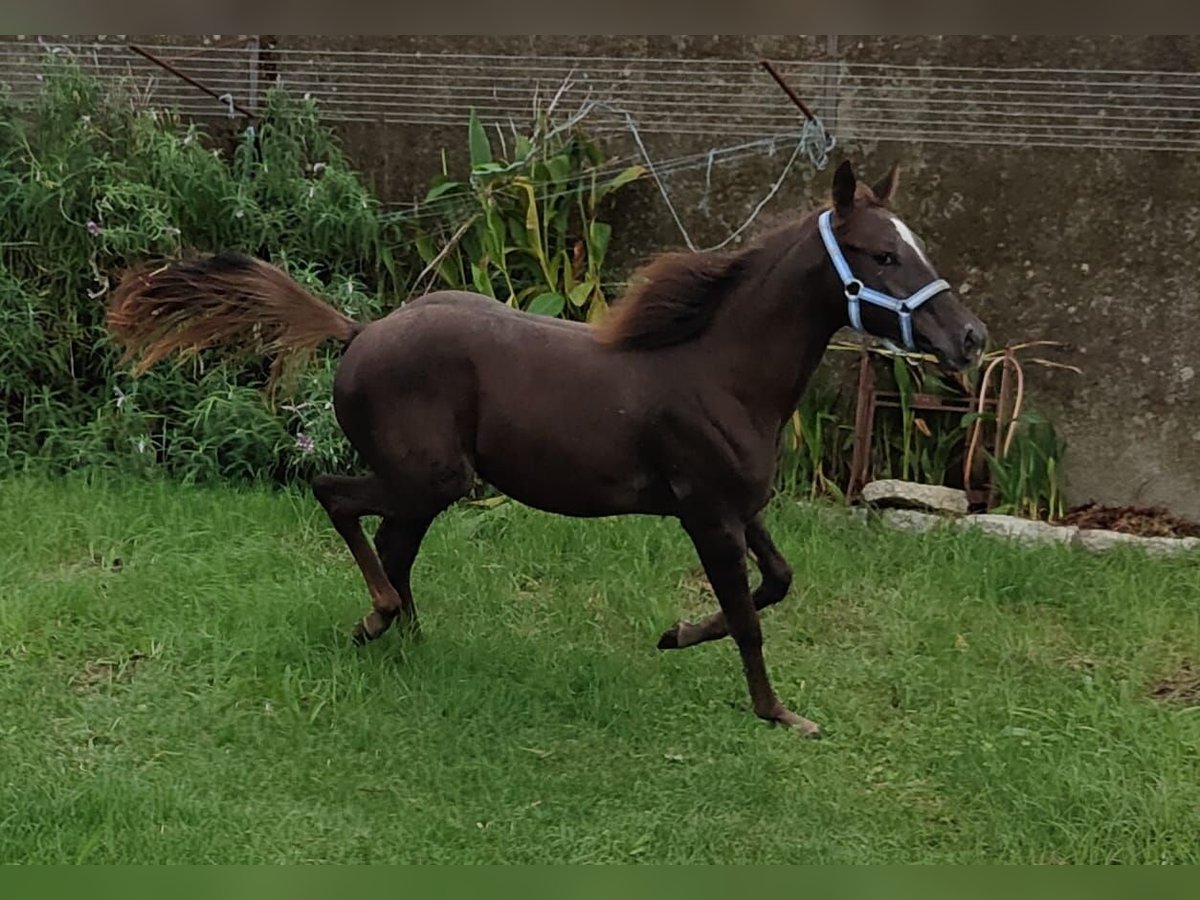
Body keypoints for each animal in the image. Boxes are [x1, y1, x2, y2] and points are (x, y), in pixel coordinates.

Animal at [105, 160, 984, 739]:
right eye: (882, 255)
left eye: (916, 245)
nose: (970, 338)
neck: (719, 370)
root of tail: (358, 331)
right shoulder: (706, 515)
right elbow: (748, 618)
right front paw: (779, 713)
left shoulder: (738, 508)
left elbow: (778, 583)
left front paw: (673, 633)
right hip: (428, 478)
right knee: (339, 501)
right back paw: (380, 619)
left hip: (427, 484)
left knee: (392, 544)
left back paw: (405, 635)